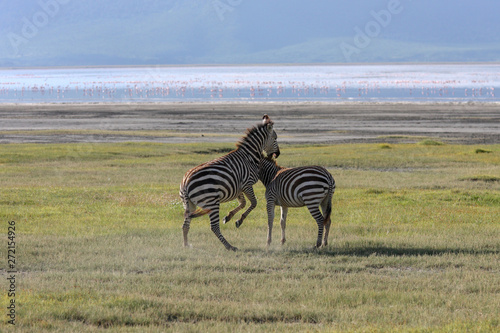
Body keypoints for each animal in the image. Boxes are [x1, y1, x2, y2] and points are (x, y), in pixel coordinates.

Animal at [180, 114, 282, 249]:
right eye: (275, 138)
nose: (278, 154)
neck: (249, 156)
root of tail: (186, 182)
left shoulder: (238, 187)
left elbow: (243, 203)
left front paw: (228, 217)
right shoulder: (247, 184)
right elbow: (254, 203)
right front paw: (239, 220)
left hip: (189, 204)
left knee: (185, 225)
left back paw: (186, 245)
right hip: (212, 202)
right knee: (214, 227)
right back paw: (229, 246)